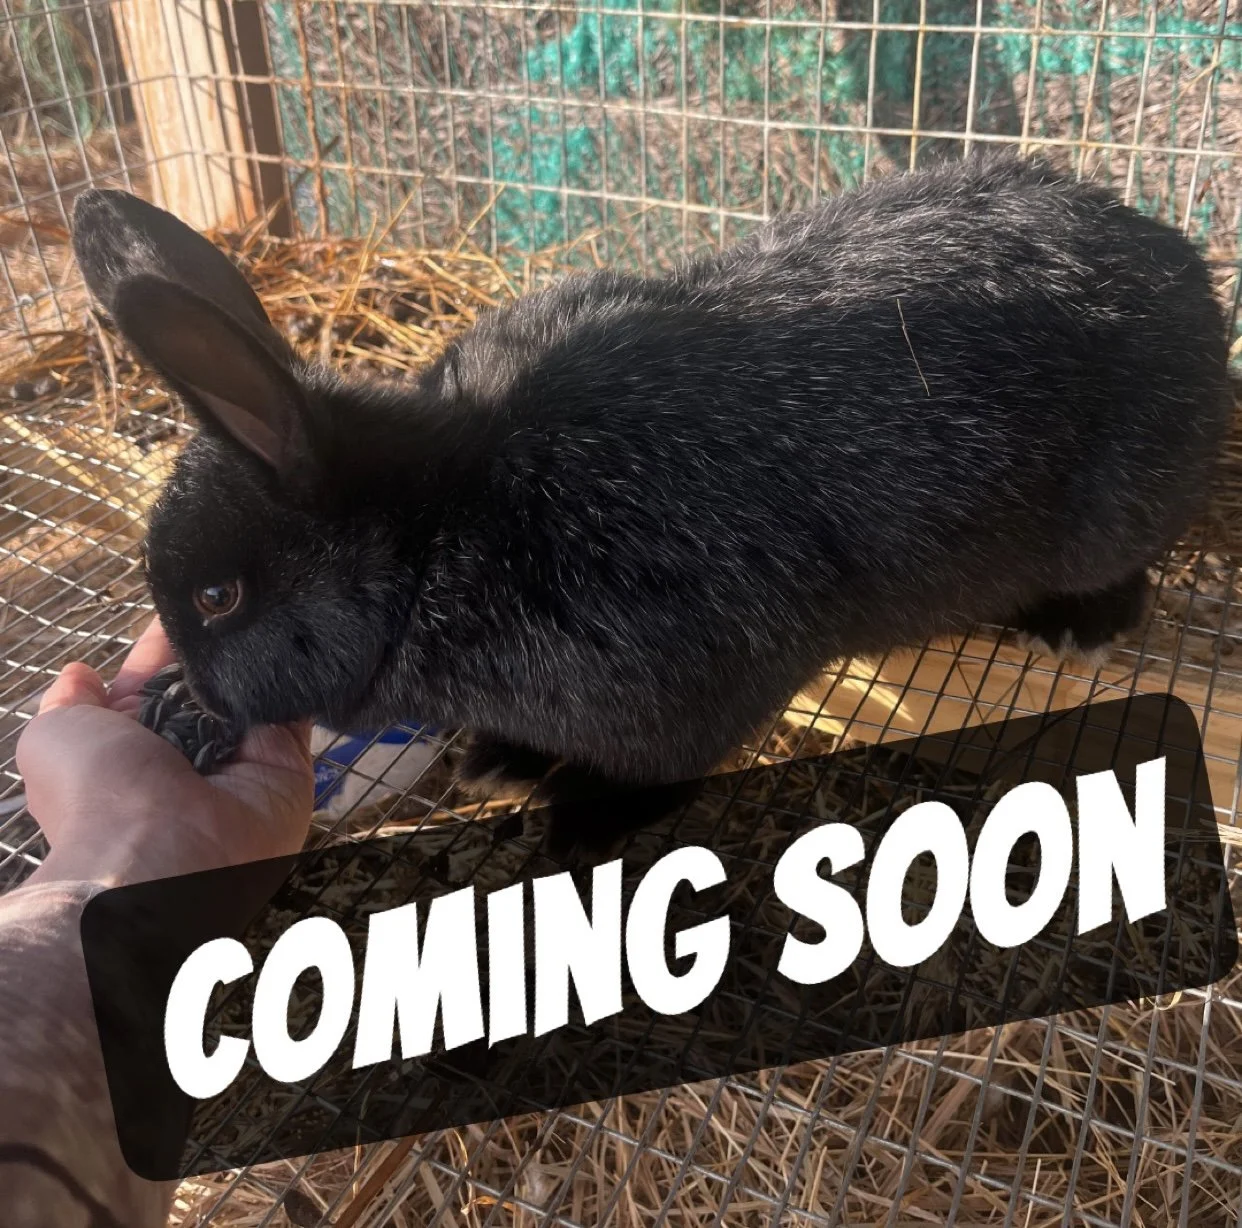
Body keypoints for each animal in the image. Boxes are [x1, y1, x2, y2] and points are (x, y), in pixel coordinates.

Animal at [71, 154, 1231, 824]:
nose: (192, 697)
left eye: (219, 597)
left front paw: (572, 812)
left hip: (1119, 507)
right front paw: (497, 760)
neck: (439, 525)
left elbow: (659, 768)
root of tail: (1184, 274)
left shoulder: (687, 675)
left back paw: (1081, 625)